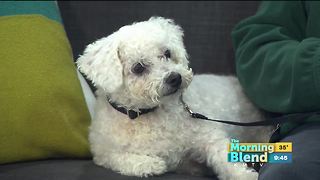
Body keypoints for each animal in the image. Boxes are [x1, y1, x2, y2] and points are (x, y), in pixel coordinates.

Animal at [75, 16, 272, 179]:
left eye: (167, 53)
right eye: (138, 67)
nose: (174, 78)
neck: (147, 114)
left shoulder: (207, 135)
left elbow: (224, 157)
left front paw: (245, 175)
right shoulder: (101, 151)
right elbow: (117, 157)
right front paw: (149, 164)